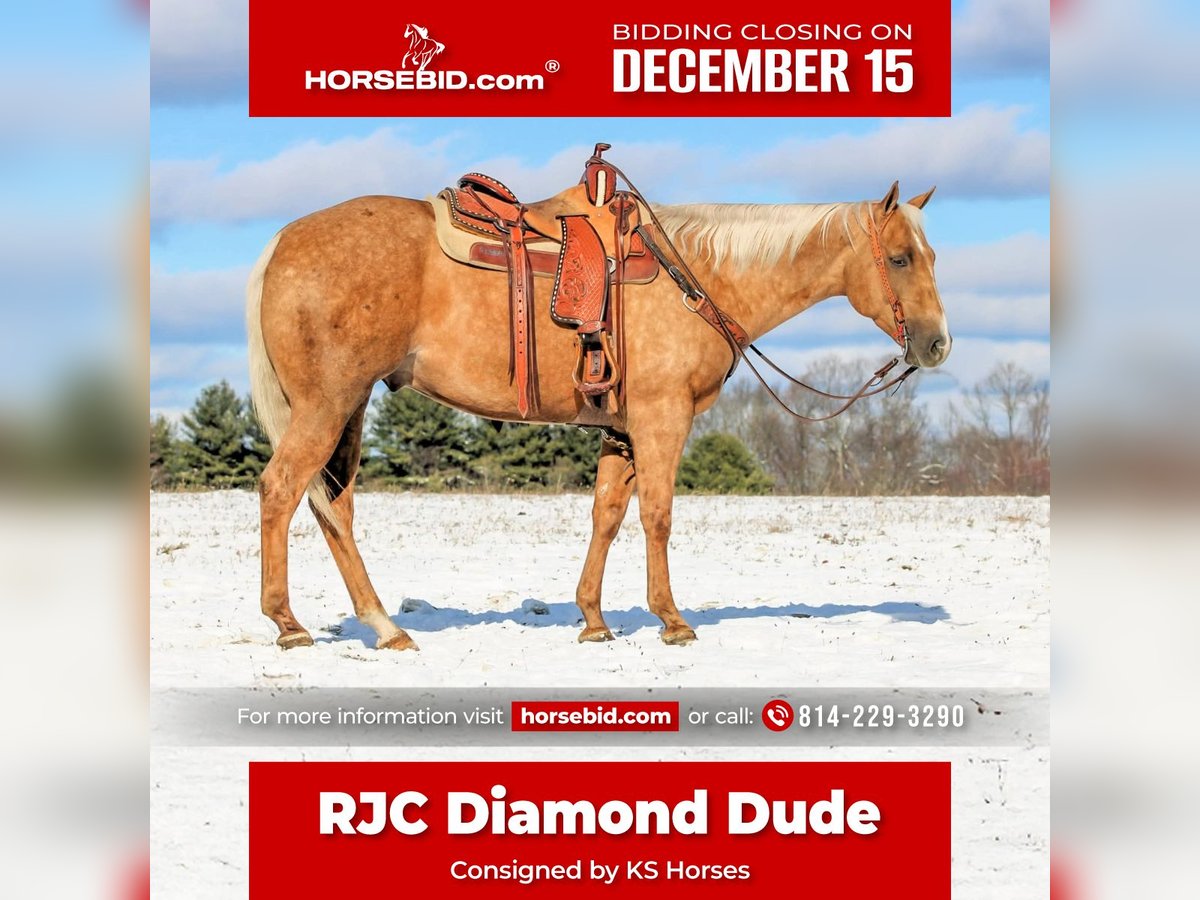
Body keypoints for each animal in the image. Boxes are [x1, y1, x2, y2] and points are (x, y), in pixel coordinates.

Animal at [245, 176, 950, 652]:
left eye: (932, 255)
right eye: (899, 258)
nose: (936, 344)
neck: (699, 277)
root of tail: (279, 242)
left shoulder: (620, 432)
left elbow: (606, 517)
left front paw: (592, 619)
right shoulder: (663, 422)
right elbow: (657, 517)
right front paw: (672, 620)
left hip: (349, 409)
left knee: (333, 508)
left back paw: (385, 626)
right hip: (328, 405)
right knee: (282, 490)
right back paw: (289, 624)